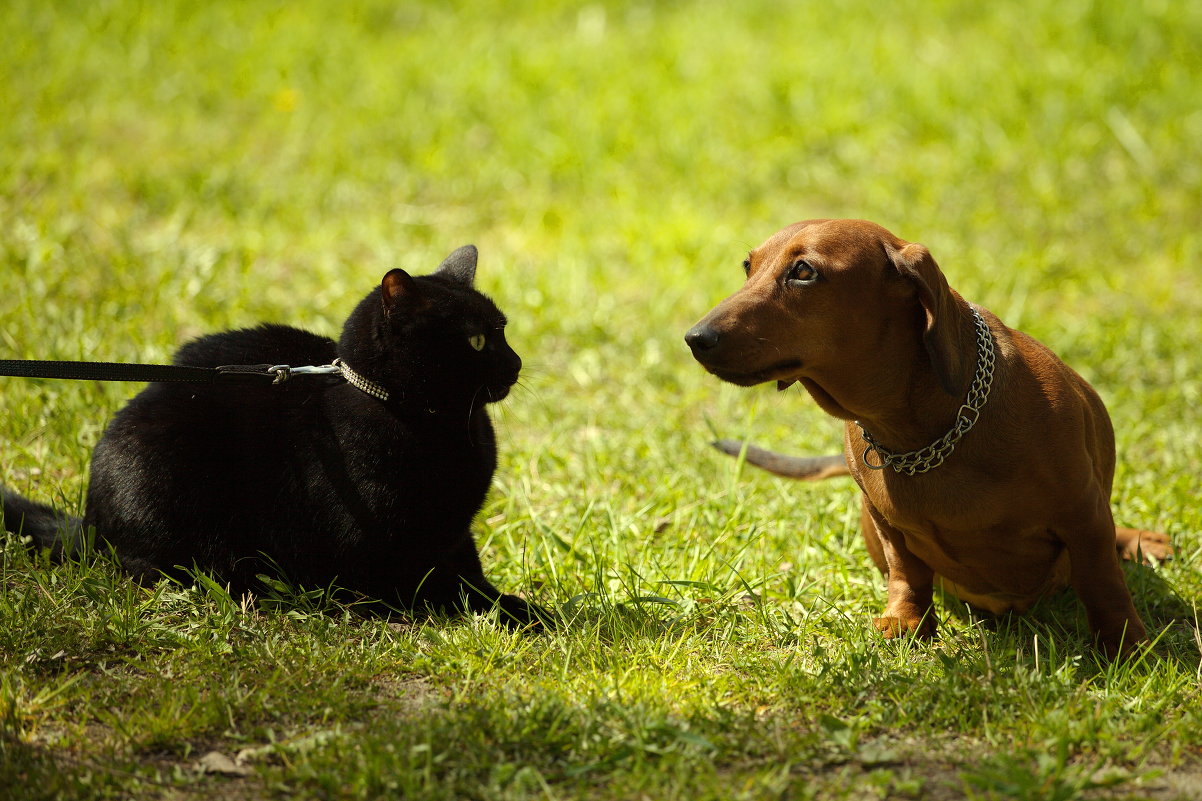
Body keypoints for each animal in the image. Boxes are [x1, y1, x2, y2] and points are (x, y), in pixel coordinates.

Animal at [1, 242, 545, 625]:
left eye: (502, 330)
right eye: (477, 341)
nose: (517, 362)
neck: (446, 426)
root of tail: (88, 524)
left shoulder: (454, 532)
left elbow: (473, 579)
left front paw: (526, 611)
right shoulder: (382, 553)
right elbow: (428, 591)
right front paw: (499, 616)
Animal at [692, 218, 1168, 654]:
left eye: (803, 271)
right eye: (748, 266)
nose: (695, 338)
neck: (921, 434)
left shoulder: (1082, 511)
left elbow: (1102, 580)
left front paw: (1123, 642)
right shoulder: (884, 521)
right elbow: (907, 571)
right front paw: (907, 619)